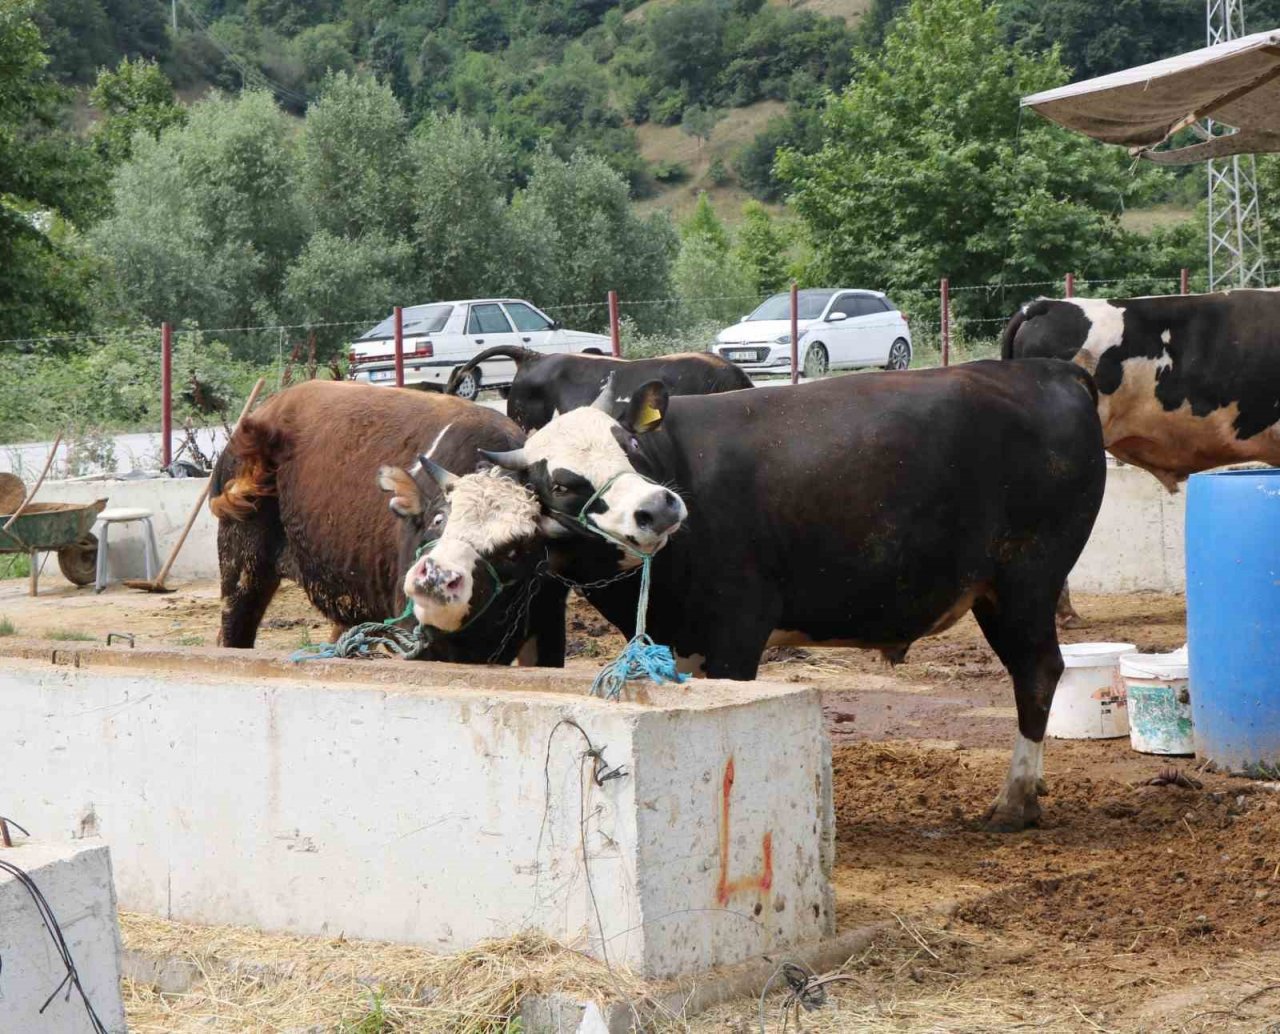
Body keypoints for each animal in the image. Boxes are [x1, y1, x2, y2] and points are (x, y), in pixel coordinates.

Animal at [209, 378, 565, 660]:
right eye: (438, 519)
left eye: (516, 548)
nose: (435, 578)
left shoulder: (547, 628)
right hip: (242, 567)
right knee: (234, 631)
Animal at [412, 363, 1111, 834]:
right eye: (561, 481)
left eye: (629, 445)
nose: (658, 506)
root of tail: (1048, 371)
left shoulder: (737, 631)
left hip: (1024, 582)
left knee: (1038, 673)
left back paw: (1016, 800)